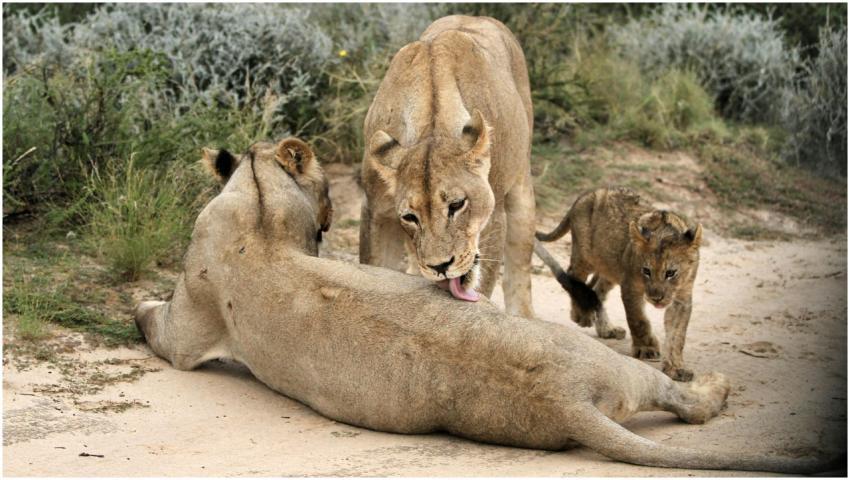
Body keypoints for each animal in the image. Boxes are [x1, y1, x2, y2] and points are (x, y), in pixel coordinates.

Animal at [359, 15, 536, 317]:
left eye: (457, 205)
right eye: (410, 217)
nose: (440, 266)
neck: (432, 125)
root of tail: (478, 16)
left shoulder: (494, 219)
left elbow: (482, 288)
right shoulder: (377, 211)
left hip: (522, 187)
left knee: (519, 271)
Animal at [535, 187, 703, 381]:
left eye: (671, 273)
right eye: (646, 271)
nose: (656, 299)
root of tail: (586, 195)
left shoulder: (682, 297)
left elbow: (677, 335)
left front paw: (676, 368)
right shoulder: (630, 286)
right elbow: (638, 320)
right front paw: (646, 348)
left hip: (611, 269)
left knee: (596, 290)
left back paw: (606, 329)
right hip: (585, 256)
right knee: (572, 276)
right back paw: (581, 315)